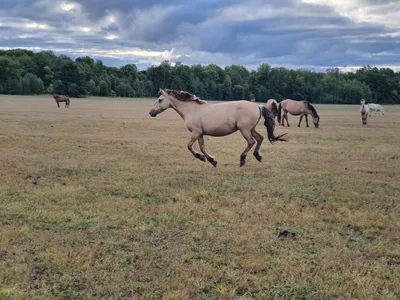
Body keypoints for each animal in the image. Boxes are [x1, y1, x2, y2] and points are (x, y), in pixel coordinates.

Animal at [148, 89, 286, 169]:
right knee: (260, 139)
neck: (192, 110)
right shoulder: (200, 134)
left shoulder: (195, 132)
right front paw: (211, 160)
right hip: (251, 129)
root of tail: (258, 106)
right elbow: (202, 147)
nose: (151, 113)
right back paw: (258, 156)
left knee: (251, 141)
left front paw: (202, 157)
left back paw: (242, 160)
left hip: (245, 130)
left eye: (160, 100)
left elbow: (189, 146)